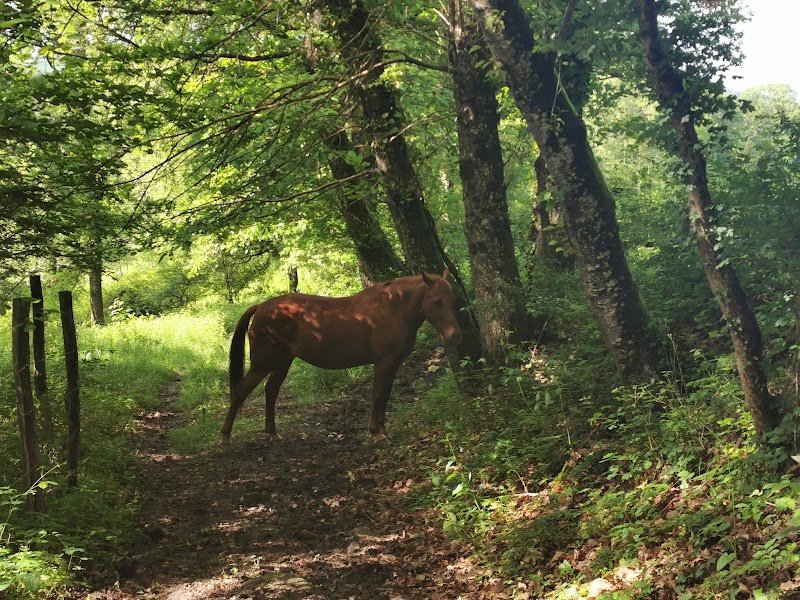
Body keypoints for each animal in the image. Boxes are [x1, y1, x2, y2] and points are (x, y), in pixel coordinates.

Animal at [221, 269, 463, 444]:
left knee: (271, 391)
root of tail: (261, 307)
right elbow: (377, 395)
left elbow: (385, 395)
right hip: (263, 364)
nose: (455, 335)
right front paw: (376, 434)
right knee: (240, 392)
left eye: (454, 300)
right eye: (436, 301)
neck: (393, 308)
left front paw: (384, 430)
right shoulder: (383, 362)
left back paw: (272, 433)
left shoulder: (394, 363)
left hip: (283, 362)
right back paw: (225, 436)